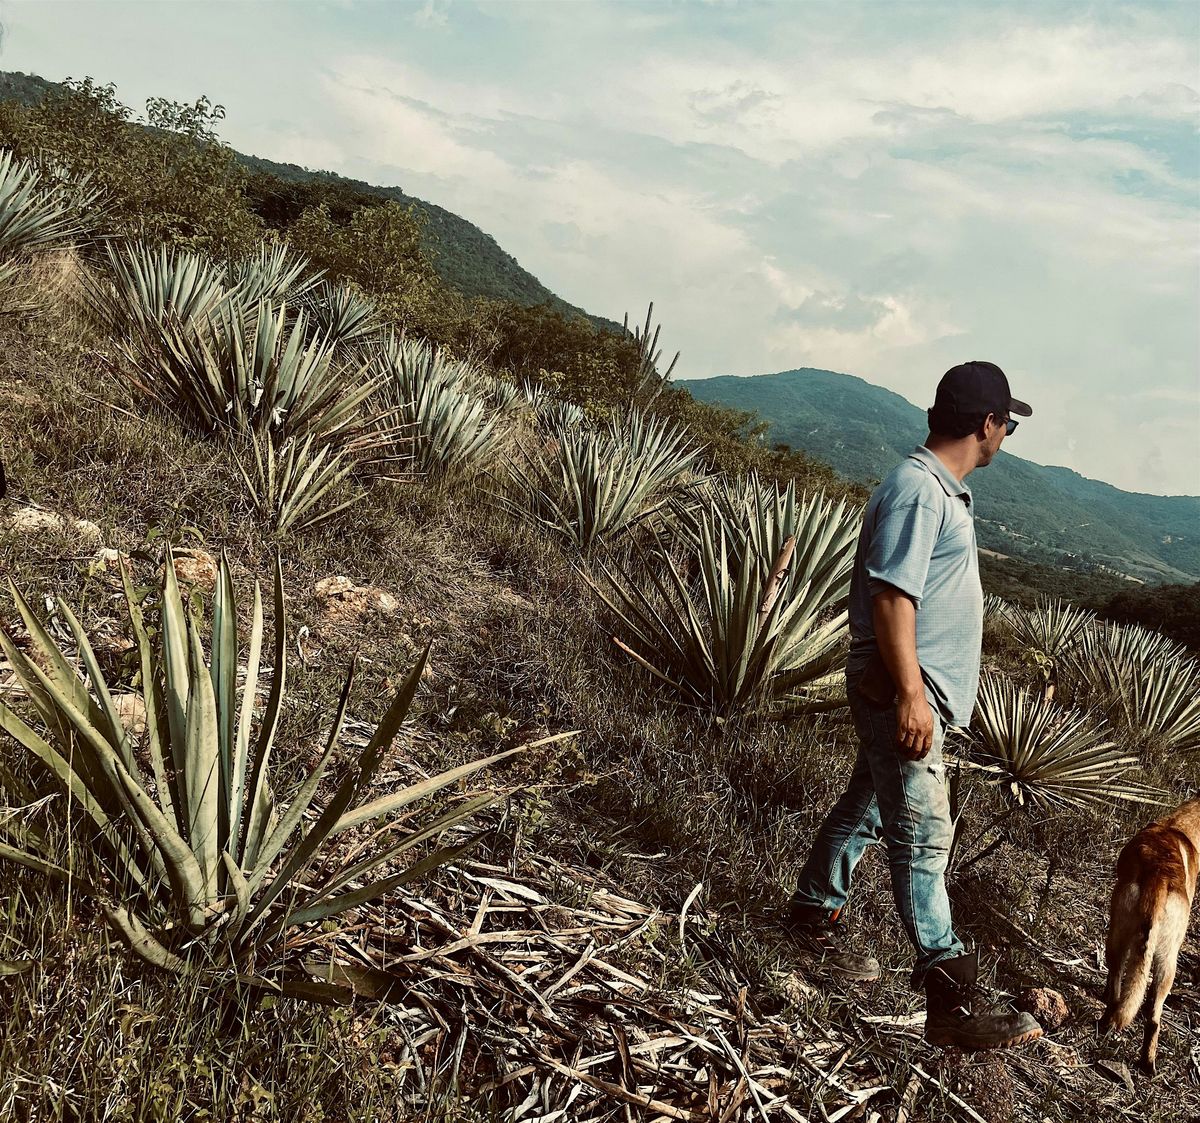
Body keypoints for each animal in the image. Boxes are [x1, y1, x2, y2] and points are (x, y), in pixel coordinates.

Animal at [1099, 791, 1195, 1075]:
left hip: (1119, 936)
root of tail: (1158, 875)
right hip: (1167, 961)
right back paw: (1147, 1061)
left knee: (1119, 991)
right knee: (1152, 1016)